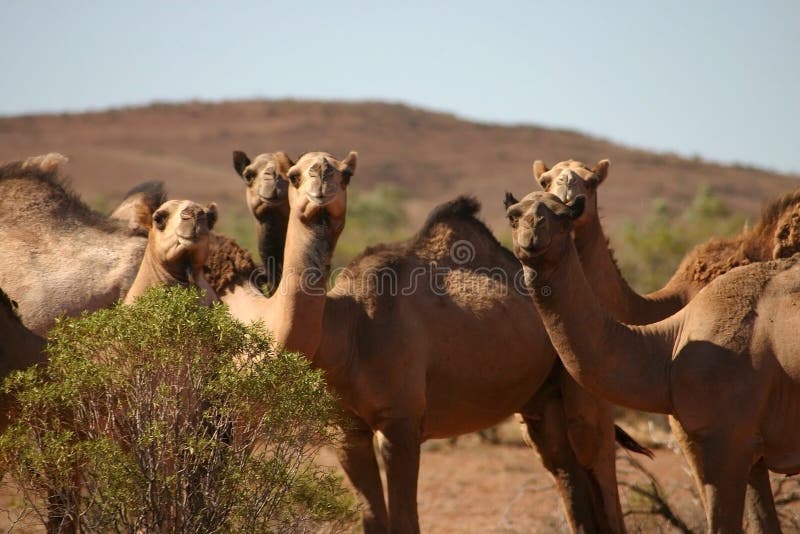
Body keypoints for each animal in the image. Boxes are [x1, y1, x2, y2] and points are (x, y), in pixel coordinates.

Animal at [506, 193, 800, 534]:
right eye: (513, 216)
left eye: (564, 216)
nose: (532, 232)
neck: (669, 347)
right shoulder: (750, 451)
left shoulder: (726, 442)